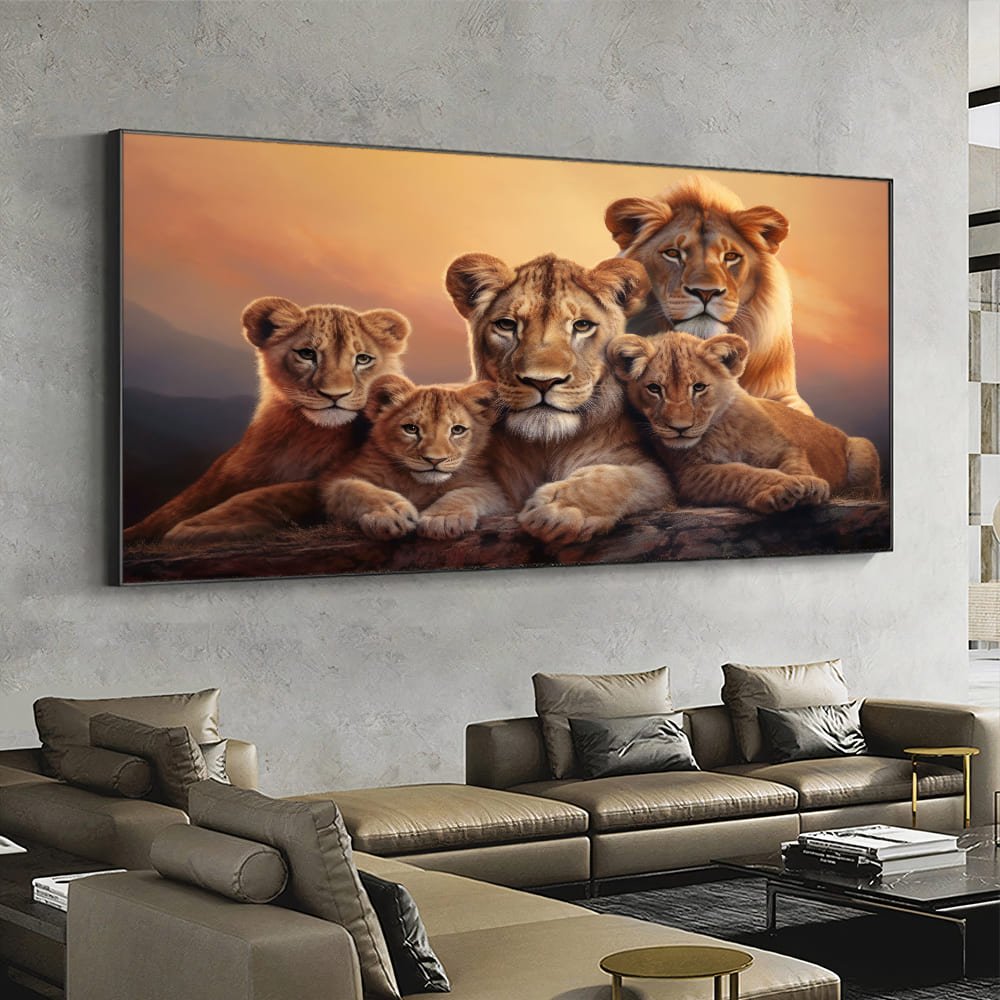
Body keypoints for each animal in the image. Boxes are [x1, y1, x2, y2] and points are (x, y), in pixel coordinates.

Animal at [123, 296, 410, 543]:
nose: (335, 395)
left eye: (363, 359)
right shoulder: (221, 478)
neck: (308, 435)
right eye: (307, 354)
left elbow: (281, 492)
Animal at [445, 252, 676, 544]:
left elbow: (619, 477)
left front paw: (558, 509)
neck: (546, 446)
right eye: (506, 325)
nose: (542, 381)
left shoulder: (653, 473)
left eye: (582, 325)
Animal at [608, 330, 881, 514]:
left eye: (699, 387)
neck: (720, 429)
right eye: (654, 389)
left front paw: (811, 485)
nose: (680, 428)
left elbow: (796, 464)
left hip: (863, 447)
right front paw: (783, 488)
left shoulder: (784, 447)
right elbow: (740, 473)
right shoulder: (690, 475)